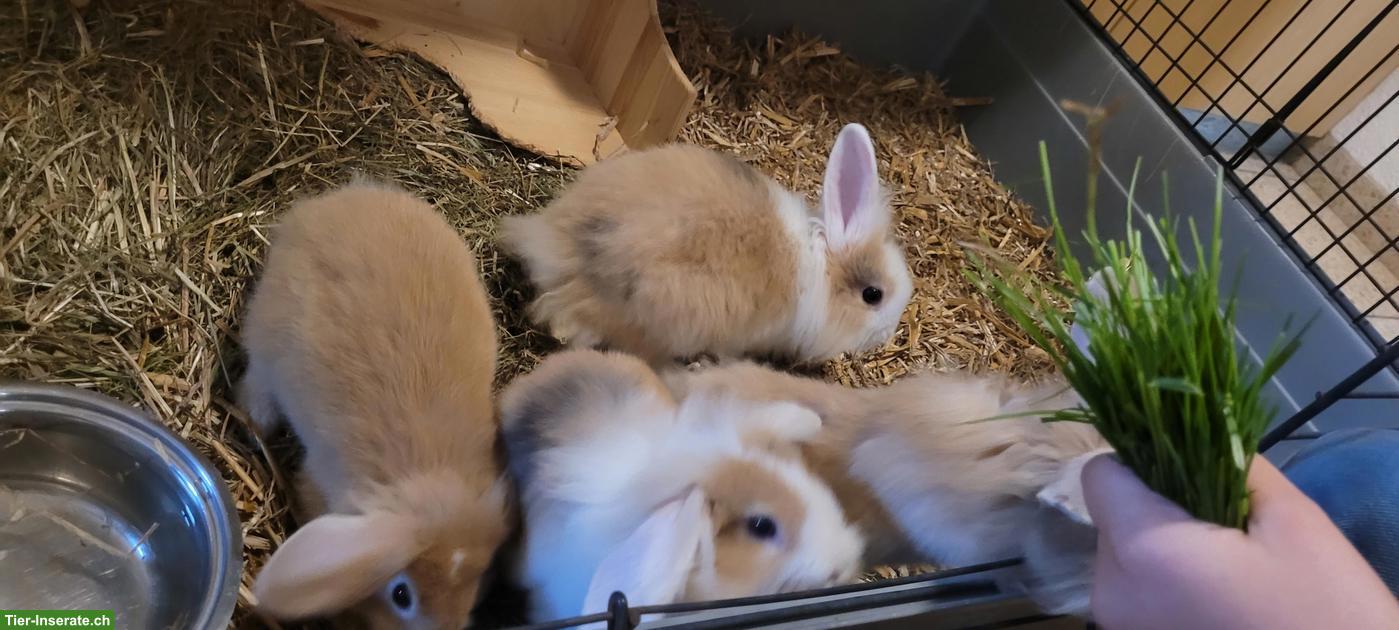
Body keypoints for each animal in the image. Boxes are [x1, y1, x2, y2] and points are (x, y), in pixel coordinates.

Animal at [239, 180, 512, 629]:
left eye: (480, 576)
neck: (430, 472)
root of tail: (330, 204)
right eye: (401, 595)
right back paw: (255, 422)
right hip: (265, 338)